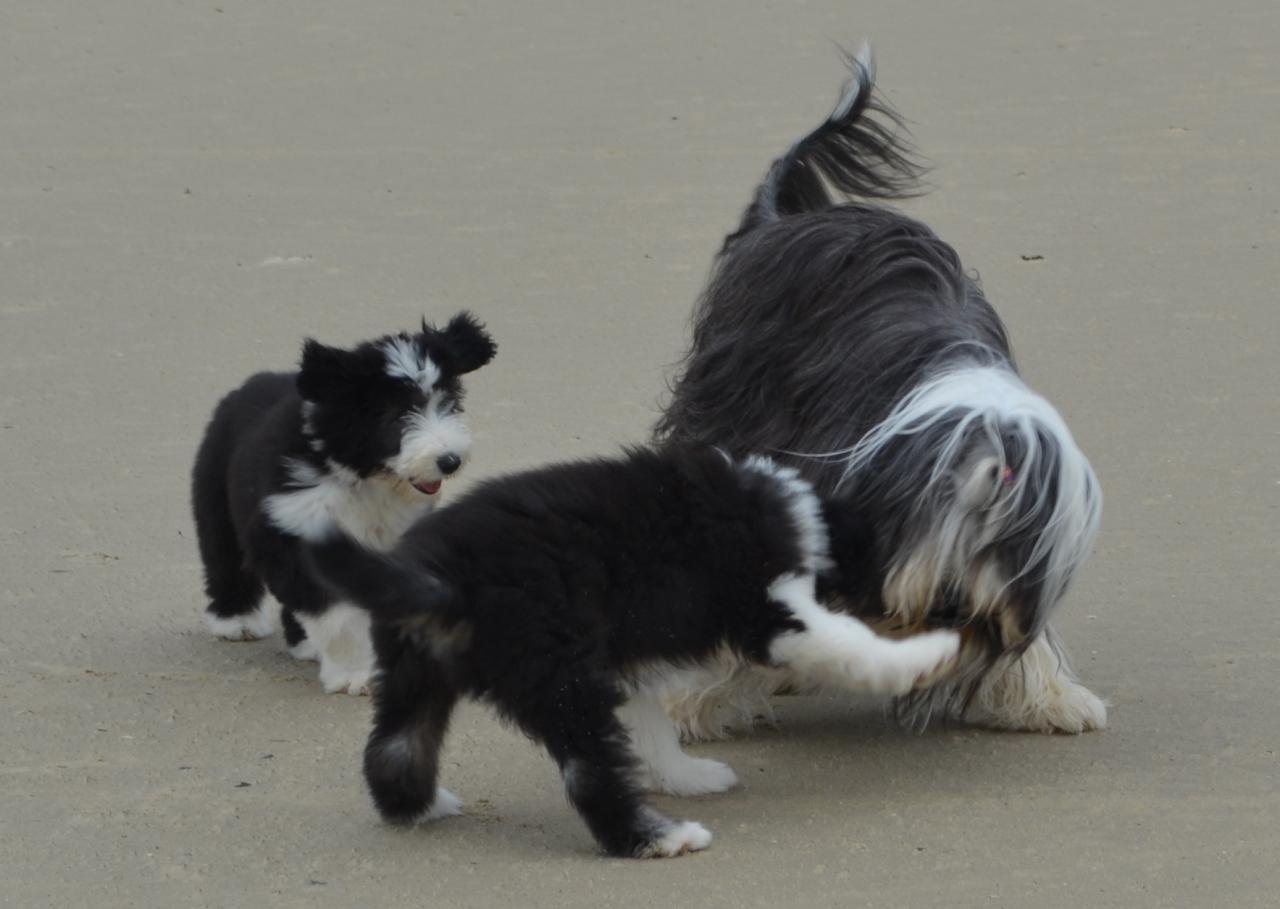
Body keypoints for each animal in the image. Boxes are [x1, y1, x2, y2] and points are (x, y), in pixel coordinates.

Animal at [192, 313, 496, 696]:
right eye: (395, 414)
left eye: (447, 403)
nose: (449, 461)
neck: (363, 478)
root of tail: (251, 383)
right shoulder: (297, 528)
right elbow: (336, 617)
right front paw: (354, 673)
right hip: (215, 500)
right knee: (224, 559)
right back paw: (237, 621)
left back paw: (304, 643)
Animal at [299, 448, 962, 860]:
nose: (946, 609)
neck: (805, 513)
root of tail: (437, 572)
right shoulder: (777, 613)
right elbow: (851, 645)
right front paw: (928, 656)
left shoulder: (624, 650)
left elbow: (650, 722)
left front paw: (685, 774)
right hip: (560, 676)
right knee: (591, 774)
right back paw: (657, 840)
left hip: (416, 671)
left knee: (394, 749)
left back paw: (421, 807)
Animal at [655, 46, 1105, 737]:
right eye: (939, 504)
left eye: (1005, 536)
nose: (951, 602)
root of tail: (783, 222)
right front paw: (695, 700)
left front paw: (1052, 697)